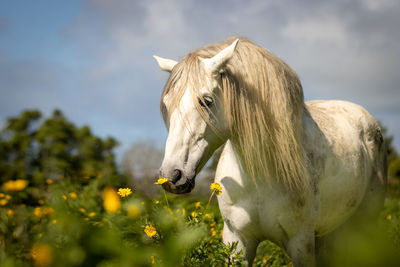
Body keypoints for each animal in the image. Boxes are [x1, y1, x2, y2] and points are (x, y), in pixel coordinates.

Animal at [152, 37, 384, 266]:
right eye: (167, 104)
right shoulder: (237, 240)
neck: (259, 176)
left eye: (206, 101)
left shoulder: (301, 243)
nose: (171, 176)